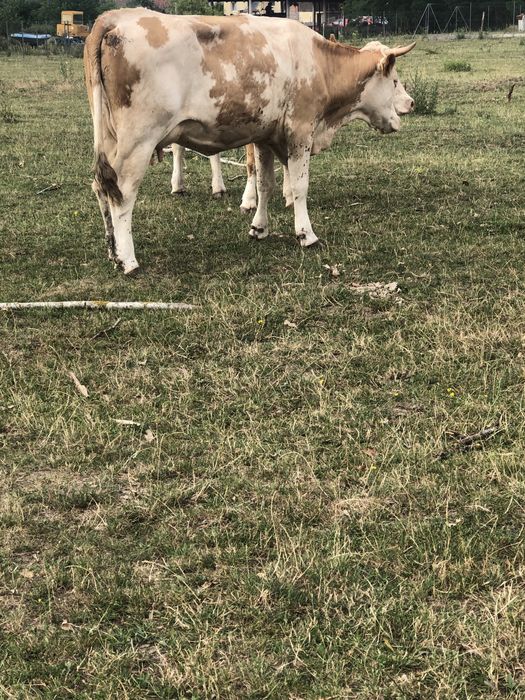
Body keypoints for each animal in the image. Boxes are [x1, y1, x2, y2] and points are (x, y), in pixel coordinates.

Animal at [84, 9, 415, 274]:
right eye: (395, 81)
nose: (411, 103)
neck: (319, 62)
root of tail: (115, 17)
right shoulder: (300, 130)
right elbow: (299, 187)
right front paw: (306, 234)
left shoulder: (265, 136)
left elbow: (264, 183)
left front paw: (259, 227)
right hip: (137, 142)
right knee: (122, 194)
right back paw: (128, 260)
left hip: (110, 140)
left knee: (101, 187)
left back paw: (113, 250)